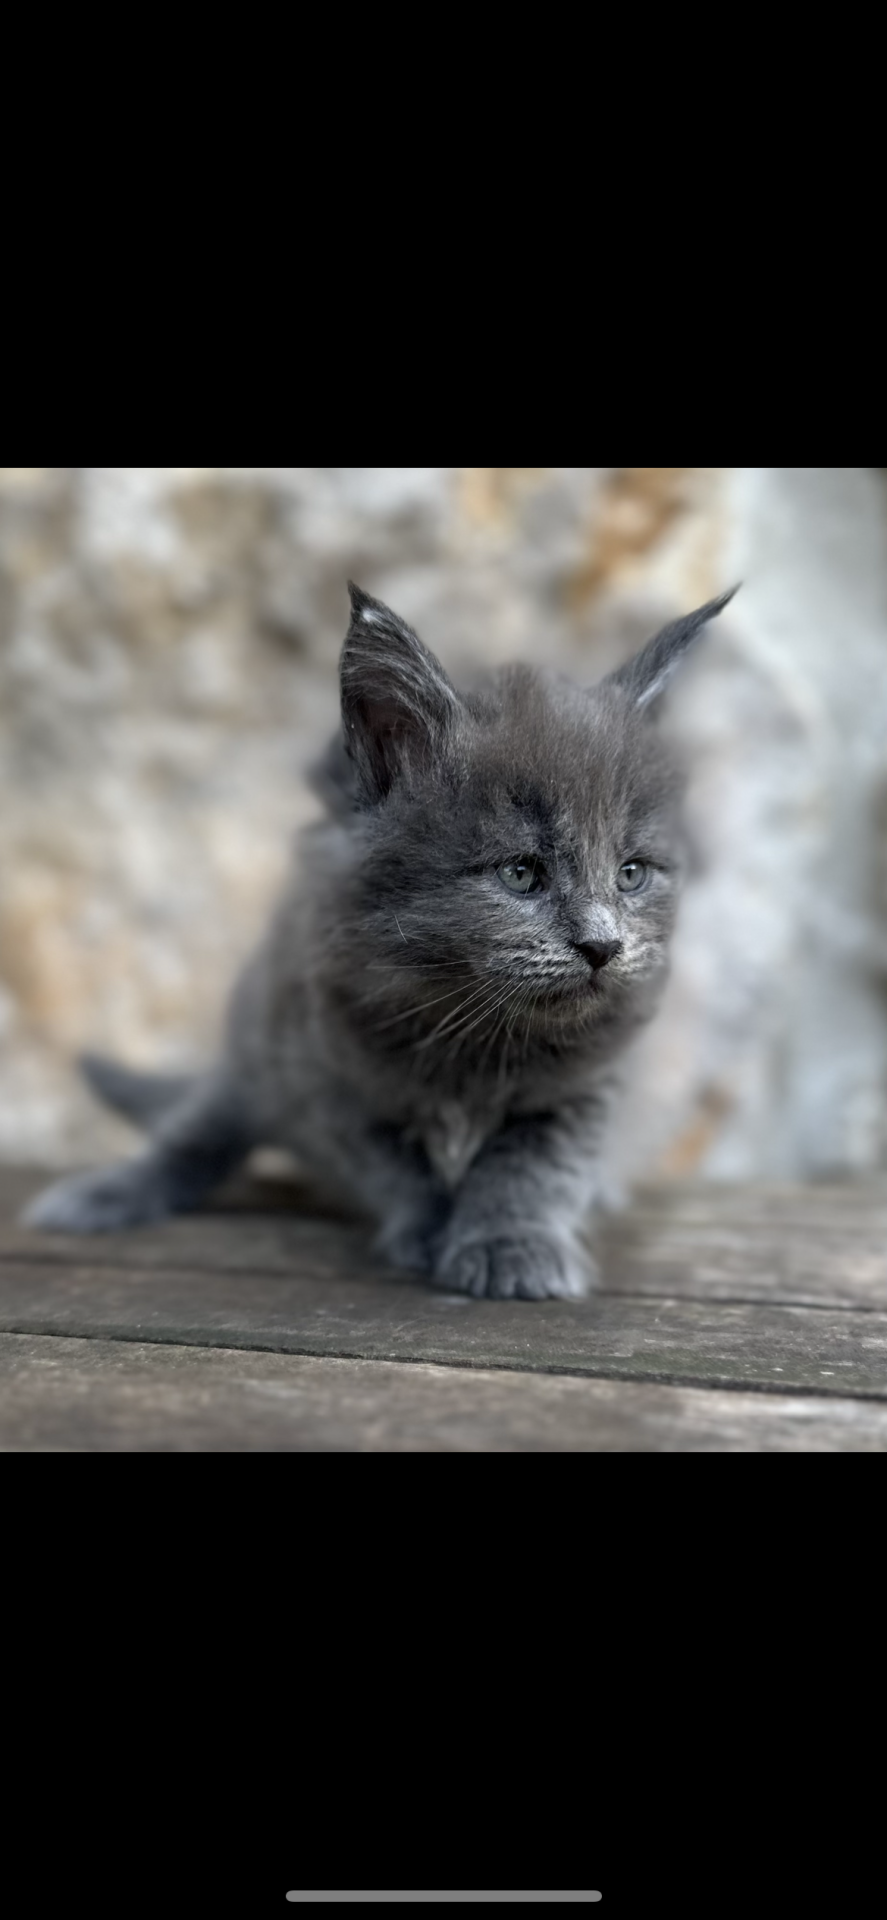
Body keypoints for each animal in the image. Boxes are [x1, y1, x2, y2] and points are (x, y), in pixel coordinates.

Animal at [26, 579, 733, 1305]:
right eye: (519, 873)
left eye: (631, 874)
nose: (601, 945)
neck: (473, 1035)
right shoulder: (325, 1069)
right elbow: (395, 1166)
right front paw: (428, 1234)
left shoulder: (590, 1084)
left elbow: (536, 1167)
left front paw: (508, 1245)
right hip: (254, 1050)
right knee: (197, 1129)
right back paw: (108, 1193)